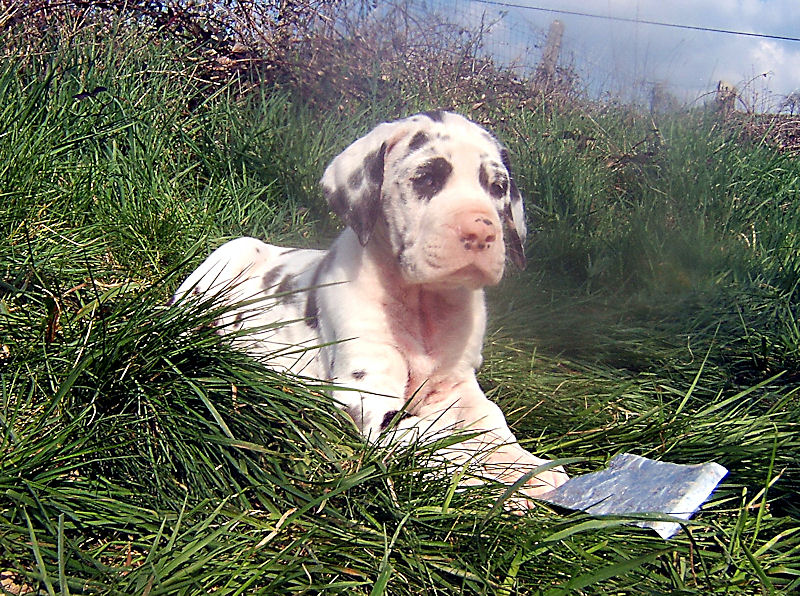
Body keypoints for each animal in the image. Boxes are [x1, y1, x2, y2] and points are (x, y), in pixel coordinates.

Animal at [173, 110, 568, 508]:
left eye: (498, 187)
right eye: (426, 178)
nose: (482, 232)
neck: (424, 306)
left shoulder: (457, 387)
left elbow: (491, 424)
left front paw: (532, 469)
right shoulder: (375, 403)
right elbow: (439, 447)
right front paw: (494, 489)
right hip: (233, 254)